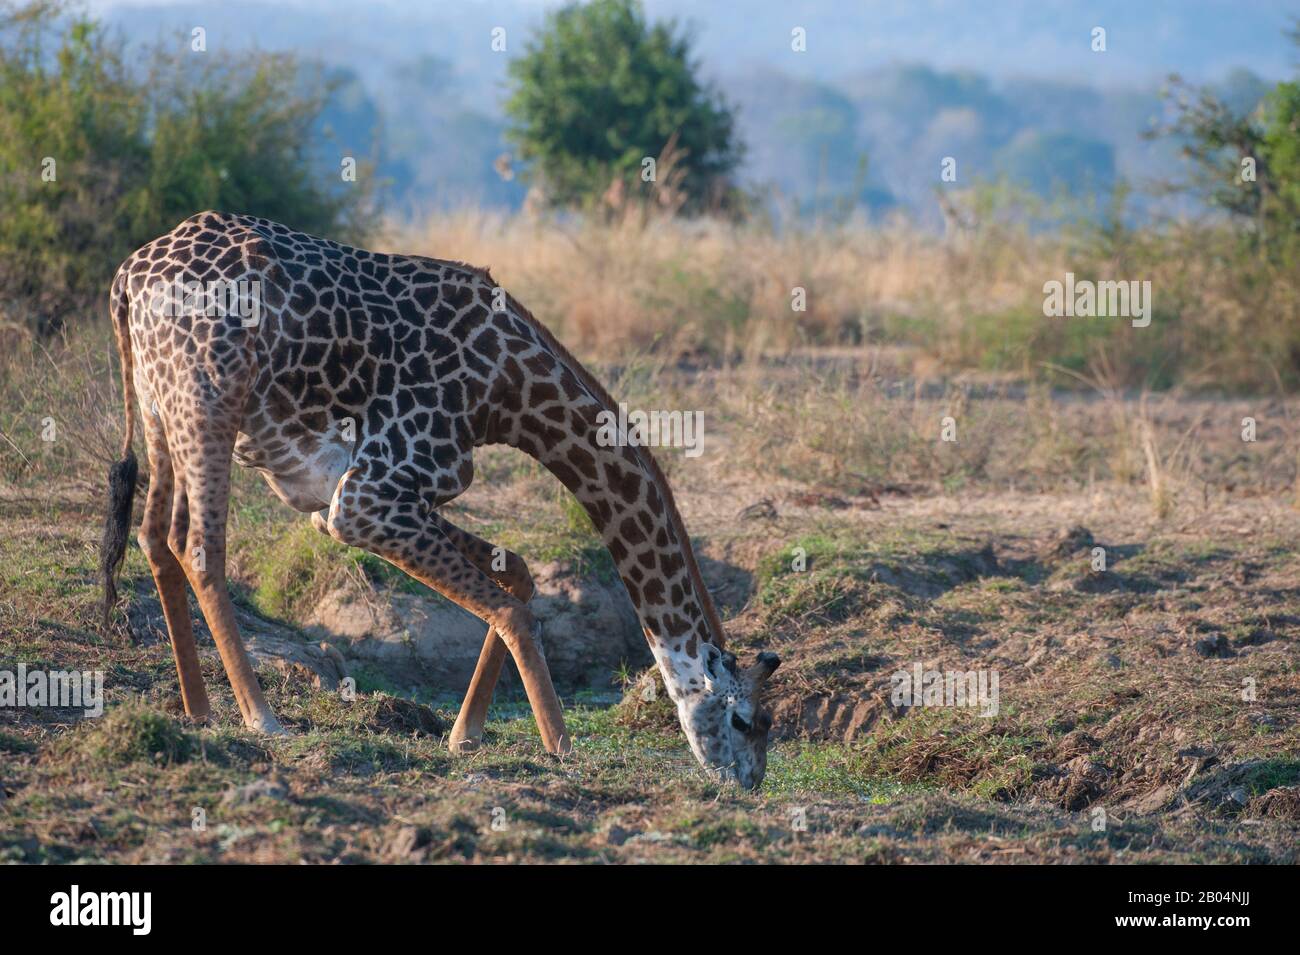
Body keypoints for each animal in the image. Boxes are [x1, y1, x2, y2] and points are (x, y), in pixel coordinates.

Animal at [99, 211, 781, 789]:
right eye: (748, 719)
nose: (747, 782)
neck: (507, 392)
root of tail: (128, 277)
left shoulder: (353, 501)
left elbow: (520, 577)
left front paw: (465, 734)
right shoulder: (367, 499)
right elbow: (515, 611)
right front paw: (560, 747)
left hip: (163, 409)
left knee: (157, 537)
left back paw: (198, 710)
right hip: (208, 398)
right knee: (200, 548)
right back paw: (262, 718)